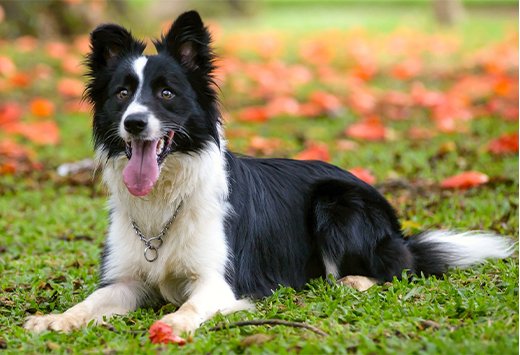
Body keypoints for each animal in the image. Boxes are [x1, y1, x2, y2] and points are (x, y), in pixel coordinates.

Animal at [23, 9, 512, 336]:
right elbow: (90, 301)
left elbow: (189, 308)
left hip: (336, 203)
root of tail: (396, 226)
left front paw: (173, 325)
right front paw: (54, 319)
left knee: (396, 268)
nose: (135, 123)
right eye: (123, 94)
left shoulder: (219, 283)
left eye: (166, 93)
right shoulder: (126, 280)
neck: (166, 198)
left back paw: (353, 280)